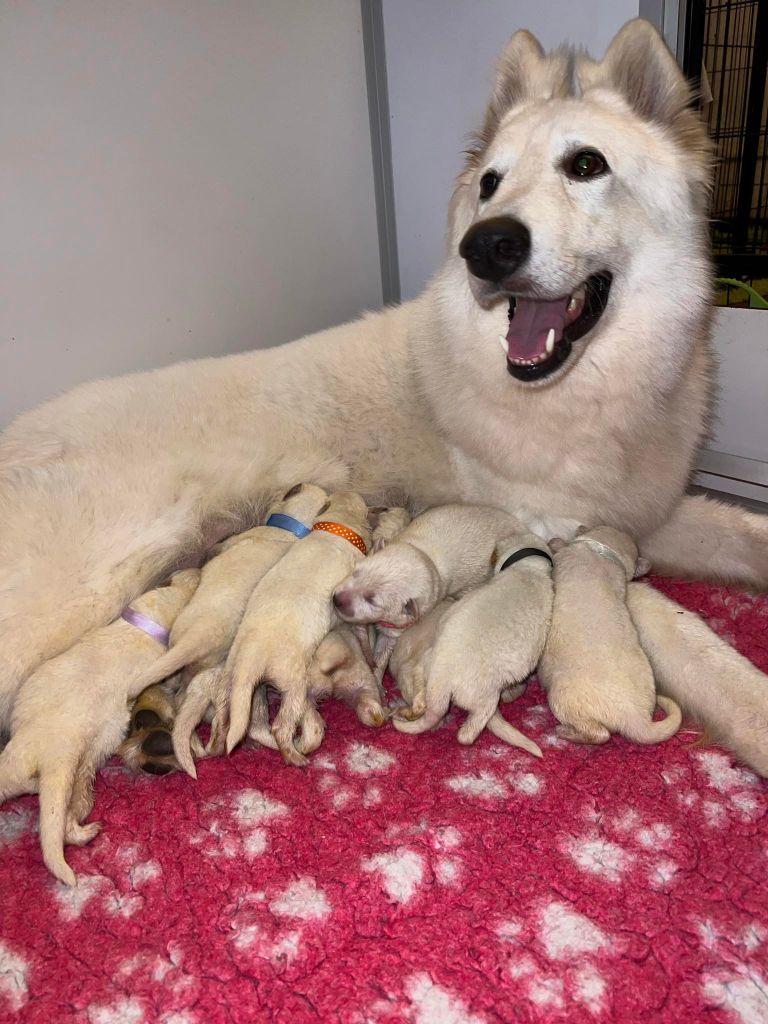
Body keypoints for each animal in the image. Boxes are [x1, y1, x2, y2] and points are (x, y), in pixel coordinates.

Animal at [0, 569, 201, 888]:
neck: (144, 624)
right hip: (85, 758)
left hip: (21, 764)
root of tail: (49, 751)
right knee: (68, 817)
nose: (196, 570)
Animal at [536, 528, 684, 745]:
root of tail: (637, 719)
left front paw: (554, 541)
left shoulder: (567, 552)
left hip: (564, 698)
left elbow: (560, 546)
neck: (604, 552)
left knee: (599, 734)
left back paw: (564, 732)